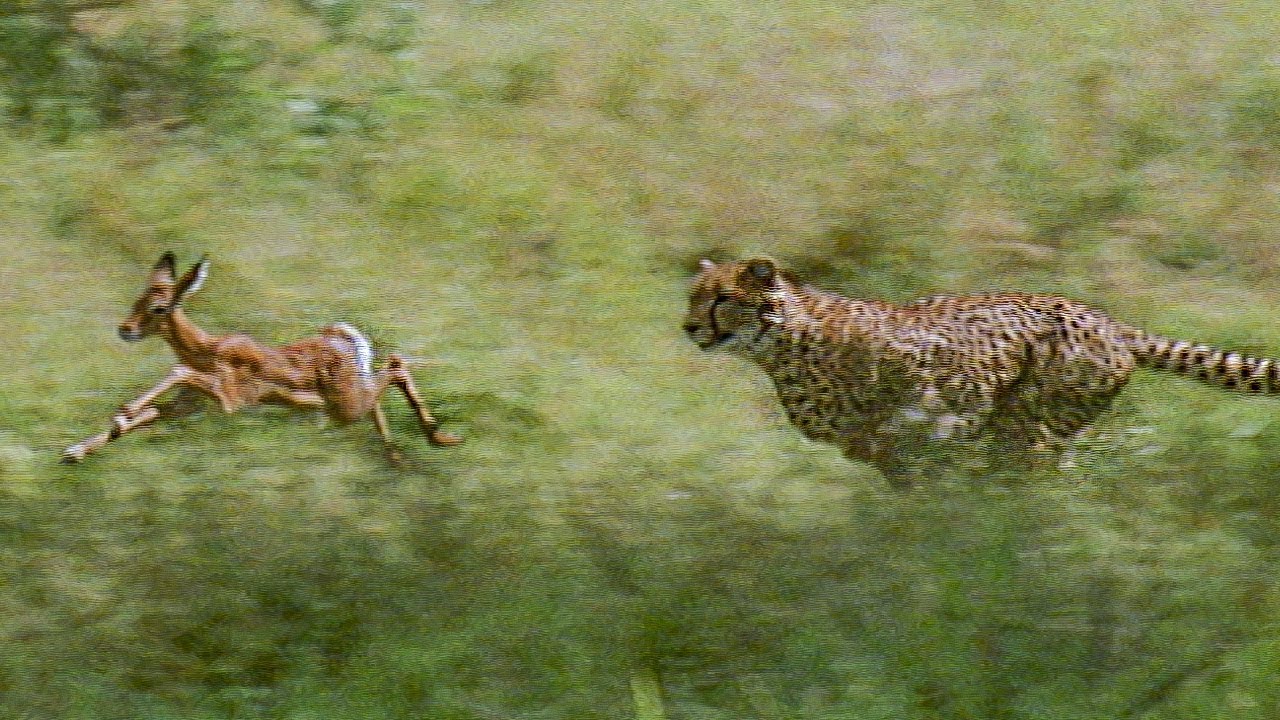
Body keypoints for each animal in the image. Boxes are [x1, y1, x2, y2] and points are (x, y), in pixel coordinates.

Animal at [62, 252, 462, 464]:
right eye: (137, 300)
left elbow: (177, 372)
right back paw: (400, 455)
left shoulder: (230, 399)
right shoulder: (188, 405)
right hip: (349, 403)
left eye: (159, 307)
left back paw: (440, 438)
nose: (124, 329)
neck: (208, 349)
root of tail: (348, 339)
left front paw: (122, 412)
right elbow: (152, 414)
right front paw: (75, 451)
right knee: (390, 372)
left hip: (345, 405)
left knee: (396, 366)